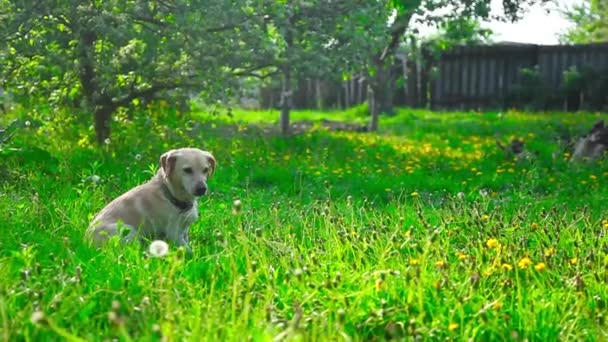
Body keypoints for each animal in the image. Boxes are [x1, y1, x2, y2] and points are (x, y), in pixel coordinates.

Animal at [85, 147, 216, 254]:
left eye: (205, 170)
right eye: (187, 170)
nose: (202, 189)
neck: (169, 193)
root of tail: (86, 242)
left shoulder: (184, 231)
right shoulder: (174, 233)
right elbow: (189, 251)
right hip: (127, 229)